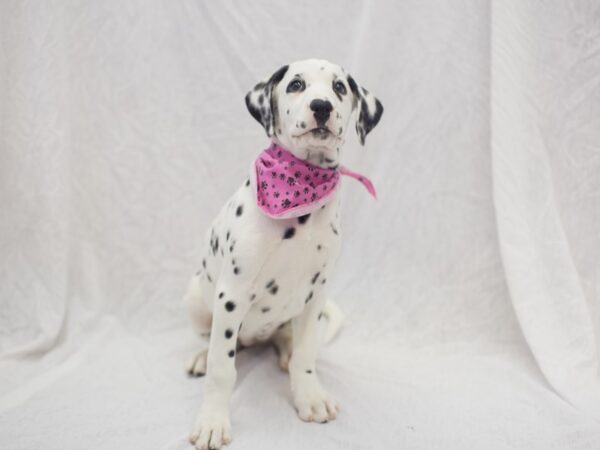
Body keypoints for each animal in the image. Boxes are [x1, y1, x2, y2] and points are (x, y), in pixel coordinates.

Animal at [186, 59, 384, 450]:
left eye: (339, 87)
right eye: (295, 84)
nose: (321, 107)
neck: (300, 189)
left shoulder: (315, 292)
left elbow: (306, 354)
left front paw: (310, 396)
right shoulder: (231, 295)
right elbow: (221, 368)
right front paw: (213, 421)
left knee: (288, 342)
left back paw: (286, 351)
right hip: (196, 297)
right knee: (215, 341)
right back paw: (201, 355)